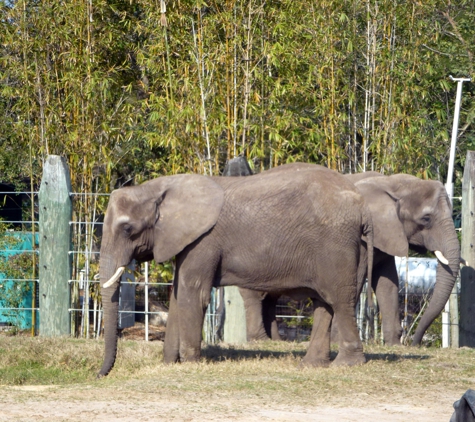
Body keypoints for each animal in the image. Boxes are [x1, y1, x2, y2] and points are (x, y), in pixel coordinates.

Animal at [99, 163, 376, 378]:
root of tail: (362, 206)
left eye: (127, 228)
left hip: (337, 243)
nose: (101, 375)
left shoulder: (204, 240)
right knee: (324, 303)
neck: (159, 188)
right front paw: (169, 363)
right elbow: (178, 295)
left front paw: (192, 364)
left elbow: (193, 294)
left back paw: (345, 364)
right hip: (352, 246)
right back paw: (310, 366)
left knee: (339, 298)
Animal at [238, 166, 462, 348]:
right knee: (255, 295)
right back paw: (261, 341)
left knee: (270, 296)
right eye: (426, 218)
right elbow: (356, 278)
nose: (415, 343)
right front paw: (338, 341)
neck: (391, 183)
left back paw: (276, 341)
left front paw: (393, 345)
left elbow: (387, 282)